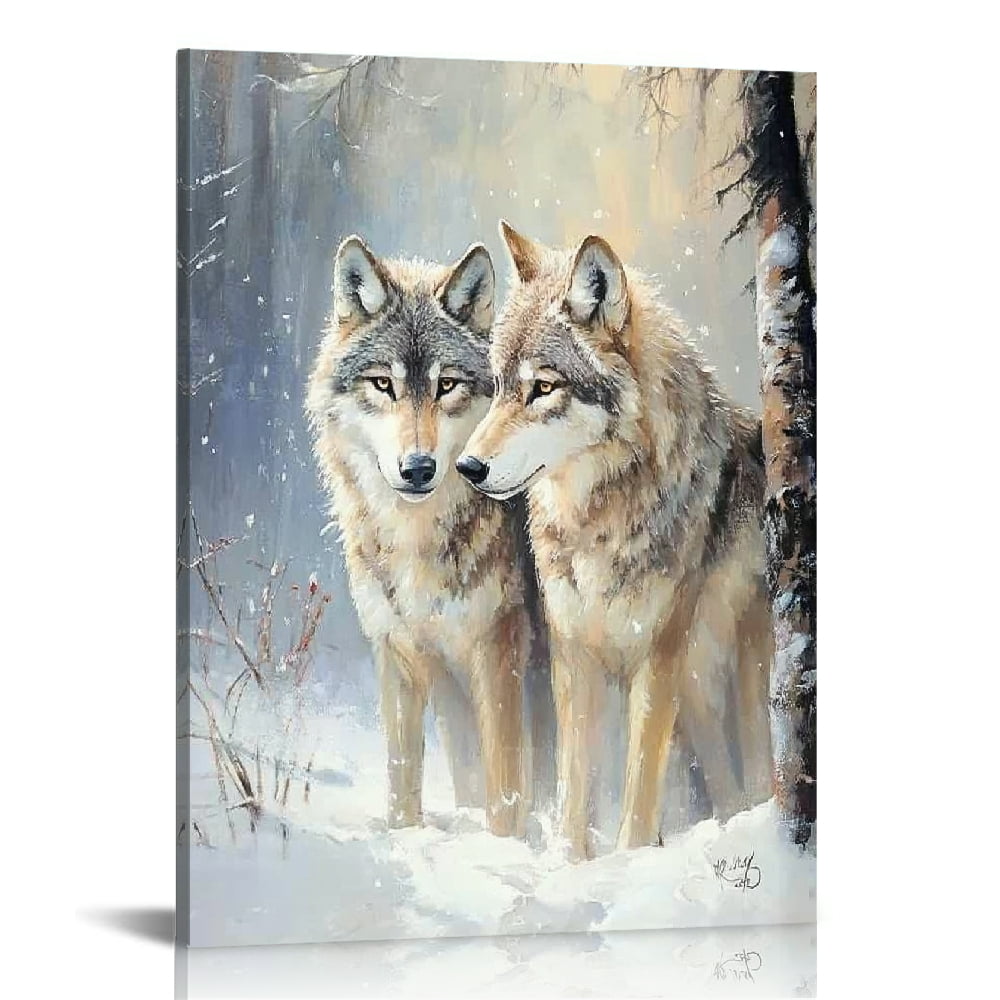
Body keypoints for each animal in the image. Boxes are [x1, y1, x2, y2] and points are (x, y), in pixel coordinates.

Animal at [306, 234, 549, 838]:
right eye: (383, 384)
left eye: (447, 385)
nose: (417, 468)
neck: (418, 544)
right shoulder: (397, 651)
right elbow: (403, 778)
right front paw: (406, 835)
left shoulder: (498, 651)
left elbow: (505, 786)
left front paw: (503, 849)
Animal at [458, 222, 773, 859]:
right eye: (499, 387)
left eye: (543, 388)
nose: (466, 467)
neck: (597, 524)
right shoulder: (573, 652)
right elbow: (574, 782)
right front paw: (572, 862)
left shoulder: (658, 657)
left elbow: (639, 786)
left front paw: (630, 860)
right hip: (697, 692)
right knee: (724, 785)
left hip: (732, 672)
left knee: (759, 773)